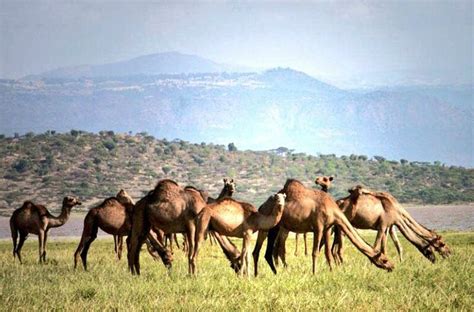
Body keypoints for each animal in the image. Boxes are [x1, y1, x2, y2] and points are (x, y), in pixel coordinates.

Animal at [254, 178, 394, 276]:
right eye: (384, 259)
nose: (392, 266)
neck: (333, 209)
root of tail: (261, 206)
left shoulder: (327, 228)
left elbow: (327, 252)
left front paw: (332, 271)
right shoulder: (318, 227)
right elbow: (315, 252)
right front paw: (314, 273)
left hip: (279, 227)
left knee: (274, 249)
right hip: (271, 226)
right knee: (268, 249)